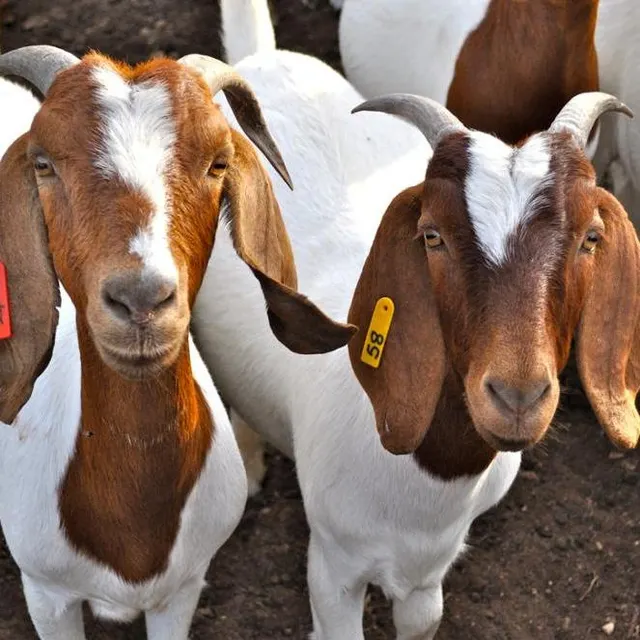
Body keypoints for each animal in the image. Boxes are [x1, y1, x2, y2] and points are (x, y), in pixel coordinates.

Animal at [196, 3, 640, 638]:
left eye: (591, 237)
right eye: (432, 235)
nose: (518, 396)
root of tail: (260, 58)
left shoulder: (431, 572)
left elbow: (423, 619)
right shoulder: (332, 564)